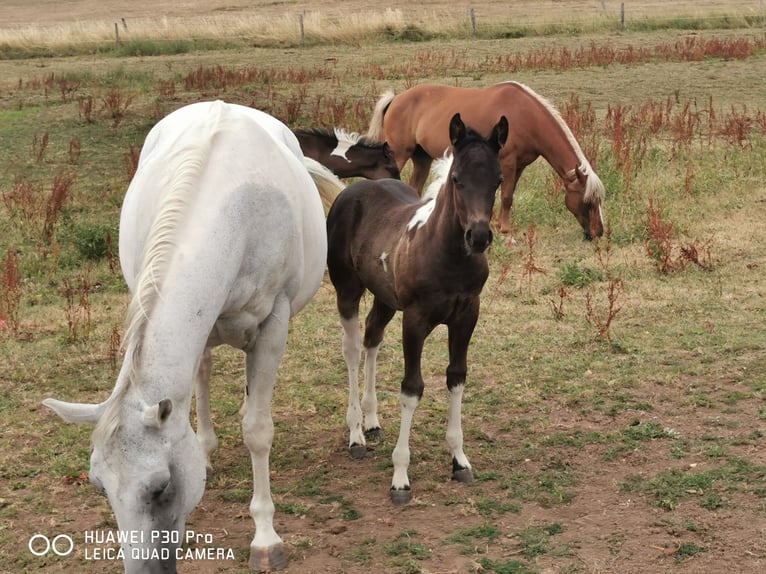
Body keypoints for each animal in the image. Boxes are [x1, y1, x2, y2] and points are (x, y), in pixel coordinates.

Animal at [42, 100, 344, 573]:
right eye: (98, 486)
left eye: (161, 487)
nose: (144, 570)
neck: (234, 210)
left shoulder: (274, 325)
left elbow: (258, 430)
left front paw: (265, 536)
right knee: (201, 373)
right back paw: (205, 447)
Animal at [326, 112, 508, 505]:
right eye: (457, 179)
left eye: (498, 180)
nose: (479, 237)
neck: (446, 255)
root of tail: (352, 191)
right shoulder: (415, 319)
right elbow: (412, 388)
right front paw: (400, 478)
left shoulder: (467, 316)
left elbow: (456, 376)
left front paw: (459, 460)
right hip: (347, 290)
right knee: (352, 349)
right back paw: (356, 434)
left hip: (385, 298)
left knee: (372, 337)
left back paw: (372, 421)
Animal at [366, 81, 605, 242]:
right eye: (587, 201)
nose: (598, 233)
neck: (525, 115)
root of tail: (396, 98)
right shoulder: (508, 163)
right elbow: (506, 197)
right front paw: (506, 232)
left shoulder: (519, 166)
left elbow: (508, 197)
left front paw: (500, 224)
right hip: (399, 154)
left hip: (421, 158)